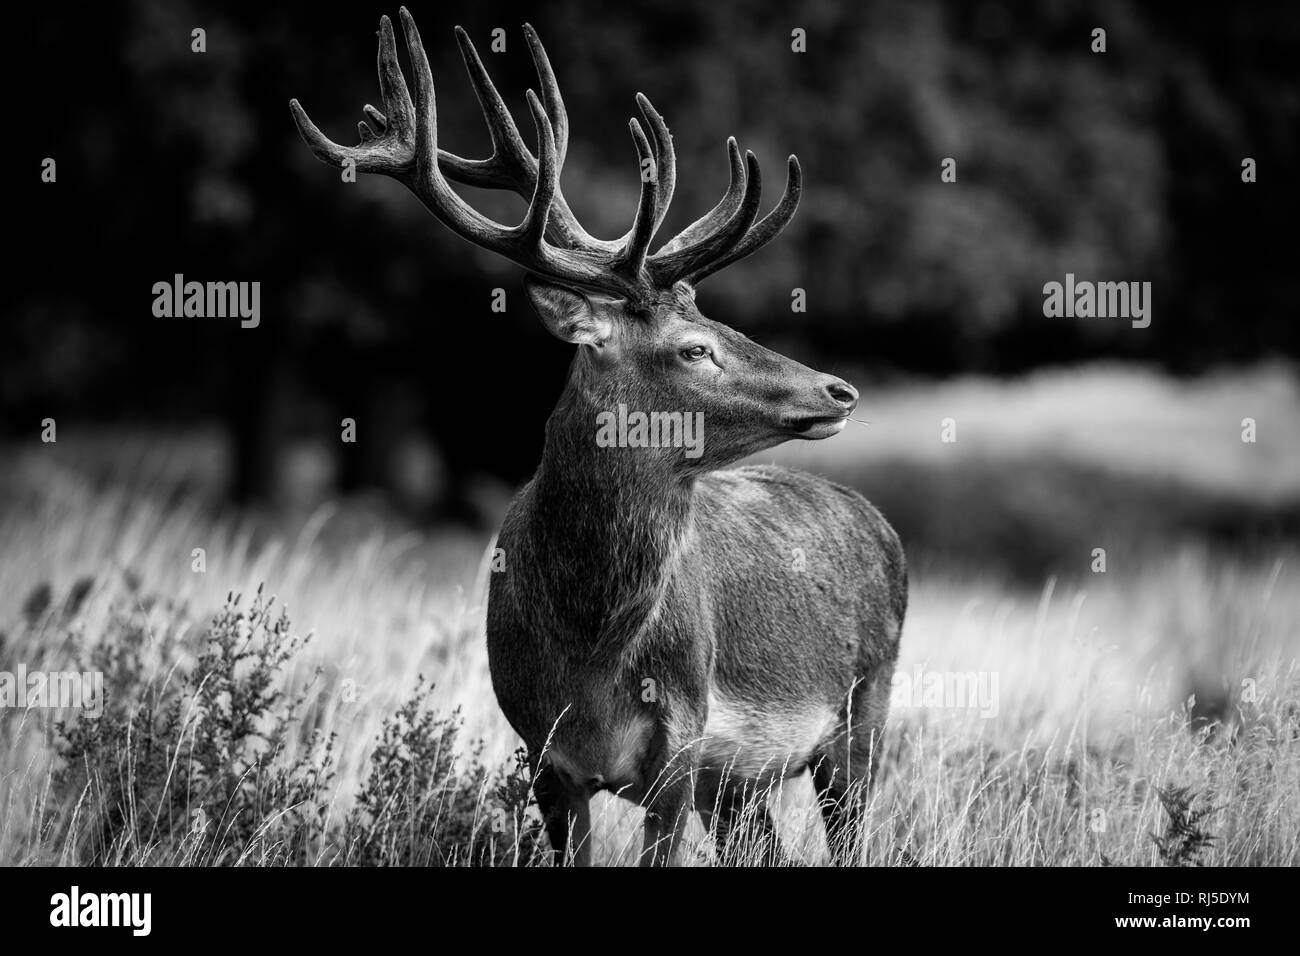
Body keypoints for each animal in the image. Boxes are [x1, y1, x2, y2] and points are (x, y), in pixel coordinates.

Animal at [291, 8, 907, 866]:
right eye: (694, 348)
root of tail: (879, 521)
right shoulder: (542, 752)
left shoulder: (682, 743)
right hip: (749, 776)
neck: (591, 652)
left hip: (863, 709)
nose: (839, 389)